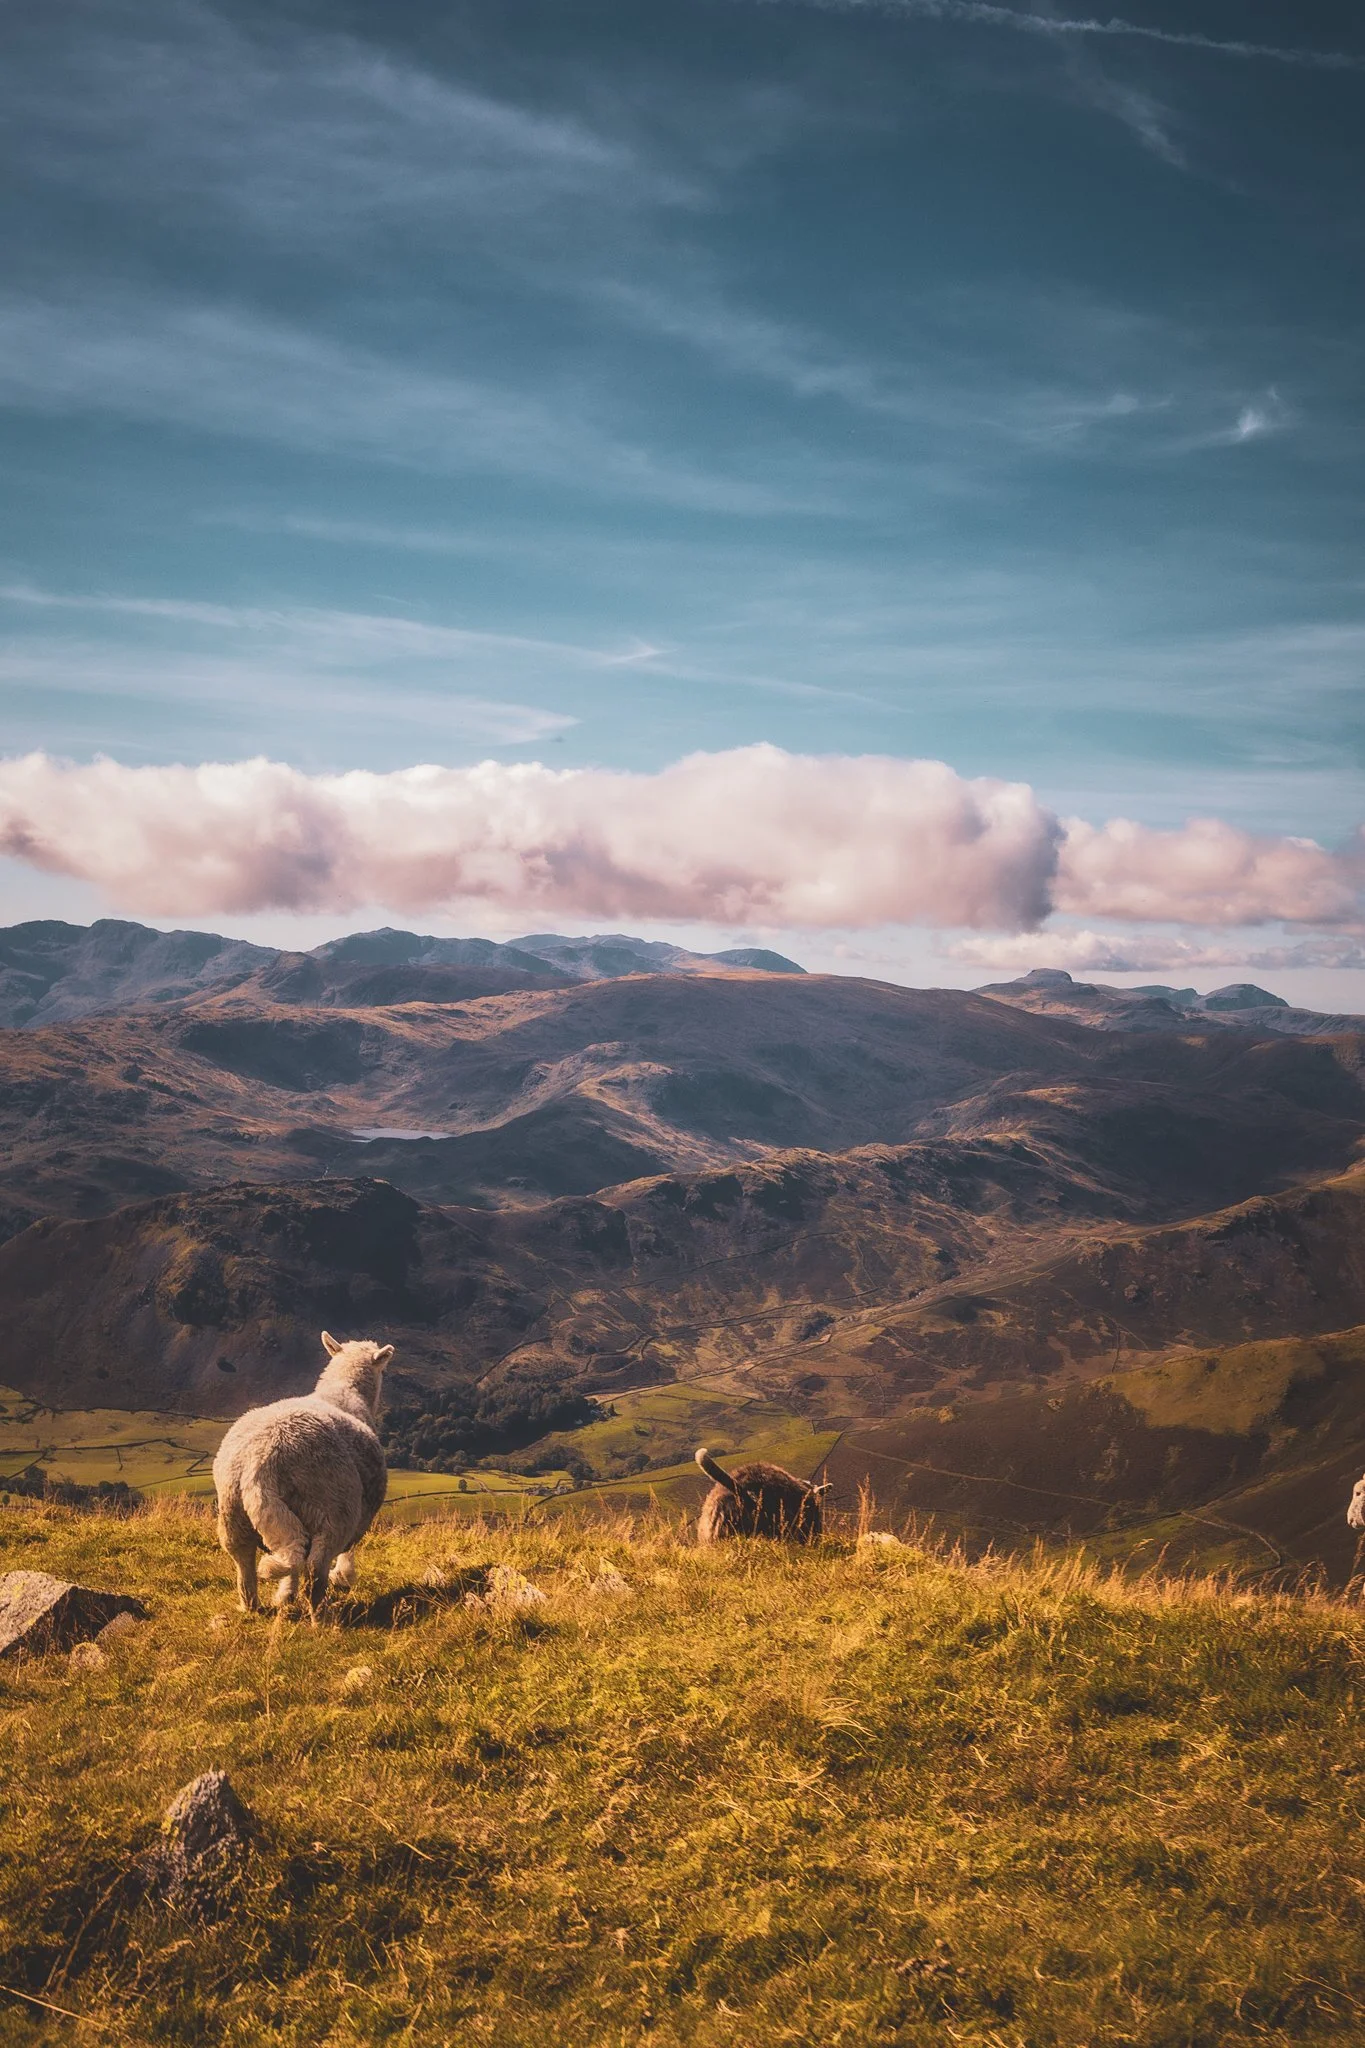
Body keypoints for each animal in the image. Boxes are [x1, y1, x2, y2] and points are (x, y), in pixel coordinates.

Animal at [212, 1332, 392, 1614]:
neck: (345, 1392)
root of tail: (262, 1462)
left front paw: (285, 1596)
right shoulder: (360, 1513)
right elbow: (348, 1551)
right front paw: (343, 1576)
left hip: (234, 1511)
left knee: (245, 1558)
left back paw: (250, 1606)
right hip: (332, 1508)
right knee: (315, 1566)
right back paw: (321, 1616)